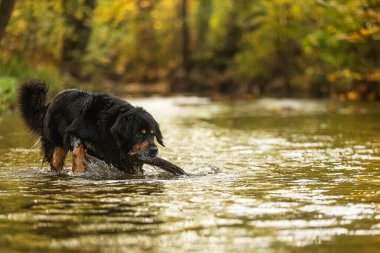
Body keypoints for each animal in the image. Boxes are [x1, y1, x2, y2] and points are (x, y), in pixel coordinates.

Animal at [18, 79, 163, 174]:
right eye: (139, 133)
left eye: (153, 135)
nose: (154, 150)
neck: (109, 126)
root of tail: (48, 106)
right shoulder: (72, 132)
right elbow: (78, 150)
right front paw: (79, 169)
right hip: (55, 146)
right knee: (55, 160)